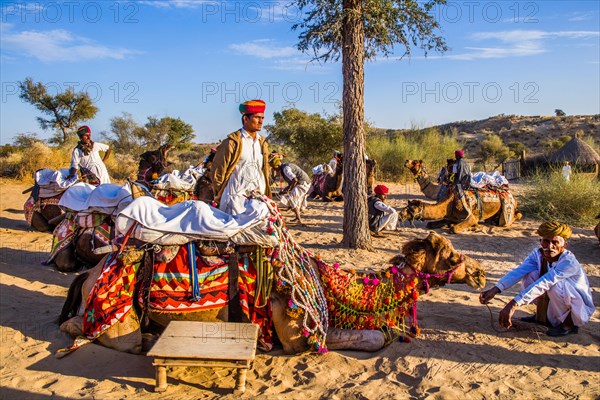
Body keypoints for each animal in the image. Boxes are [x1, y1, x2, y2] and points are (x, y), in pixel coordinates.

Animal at [58, 227, 486, 354]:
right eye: (450, 256)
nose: (481, 274)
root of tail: (92, 272)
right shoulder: (296, 332)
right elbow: (374, 336)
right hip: (114, 312)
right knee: (88, 331)